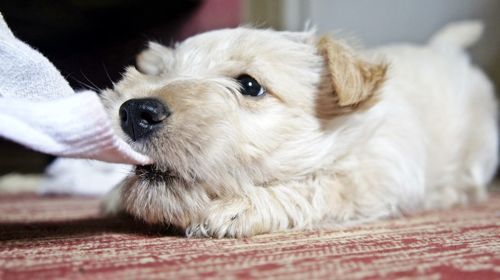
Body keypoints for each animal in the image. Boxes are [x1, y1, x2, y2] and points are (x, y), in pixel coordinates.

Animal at [99, 20, 498, 237]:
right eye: (162, 73)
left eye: (249, 85)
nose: (132, 111)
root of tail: (445, 49)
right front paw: (114, 196)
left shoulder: (377, 175)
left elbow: (320, 186)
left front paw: (239, 207)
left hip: (482, 147)